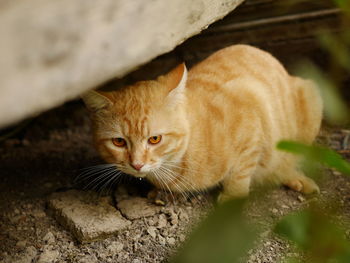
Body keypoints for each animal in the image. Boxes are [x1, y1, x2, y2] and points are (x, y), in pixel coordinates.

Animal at [82, 45, 322, 202]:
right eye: (119, 142)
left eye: (155, 139)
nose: (137, 165)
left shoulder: (252, 105)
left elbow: (240, 173)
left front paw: (232, 199)